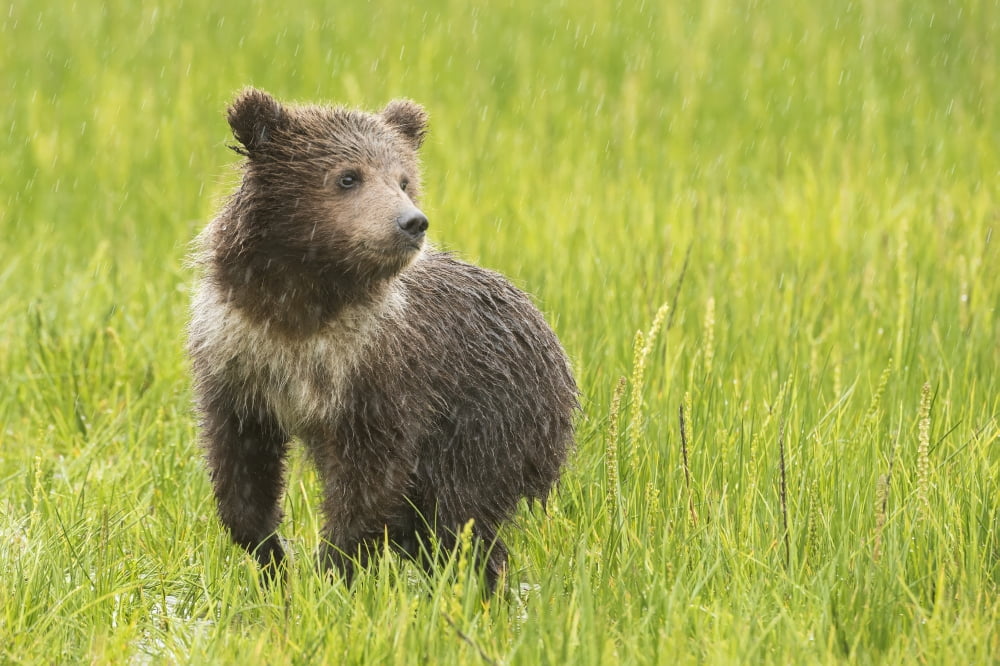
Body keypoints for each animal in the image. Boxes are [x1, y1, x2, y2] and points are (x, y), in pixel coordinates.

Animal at [187, 88, 578, 592]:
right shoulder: (238, 354)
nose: (412, 222)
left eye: (404, 180)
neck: (302, 306)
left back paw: (476, 585)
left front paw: (333, 567)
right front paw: (272, 557)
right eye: (348, 176)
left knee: (458, 514)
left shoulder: (382, 372)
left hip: (491, 420)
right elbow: (240, 461)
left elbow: (371, 482)